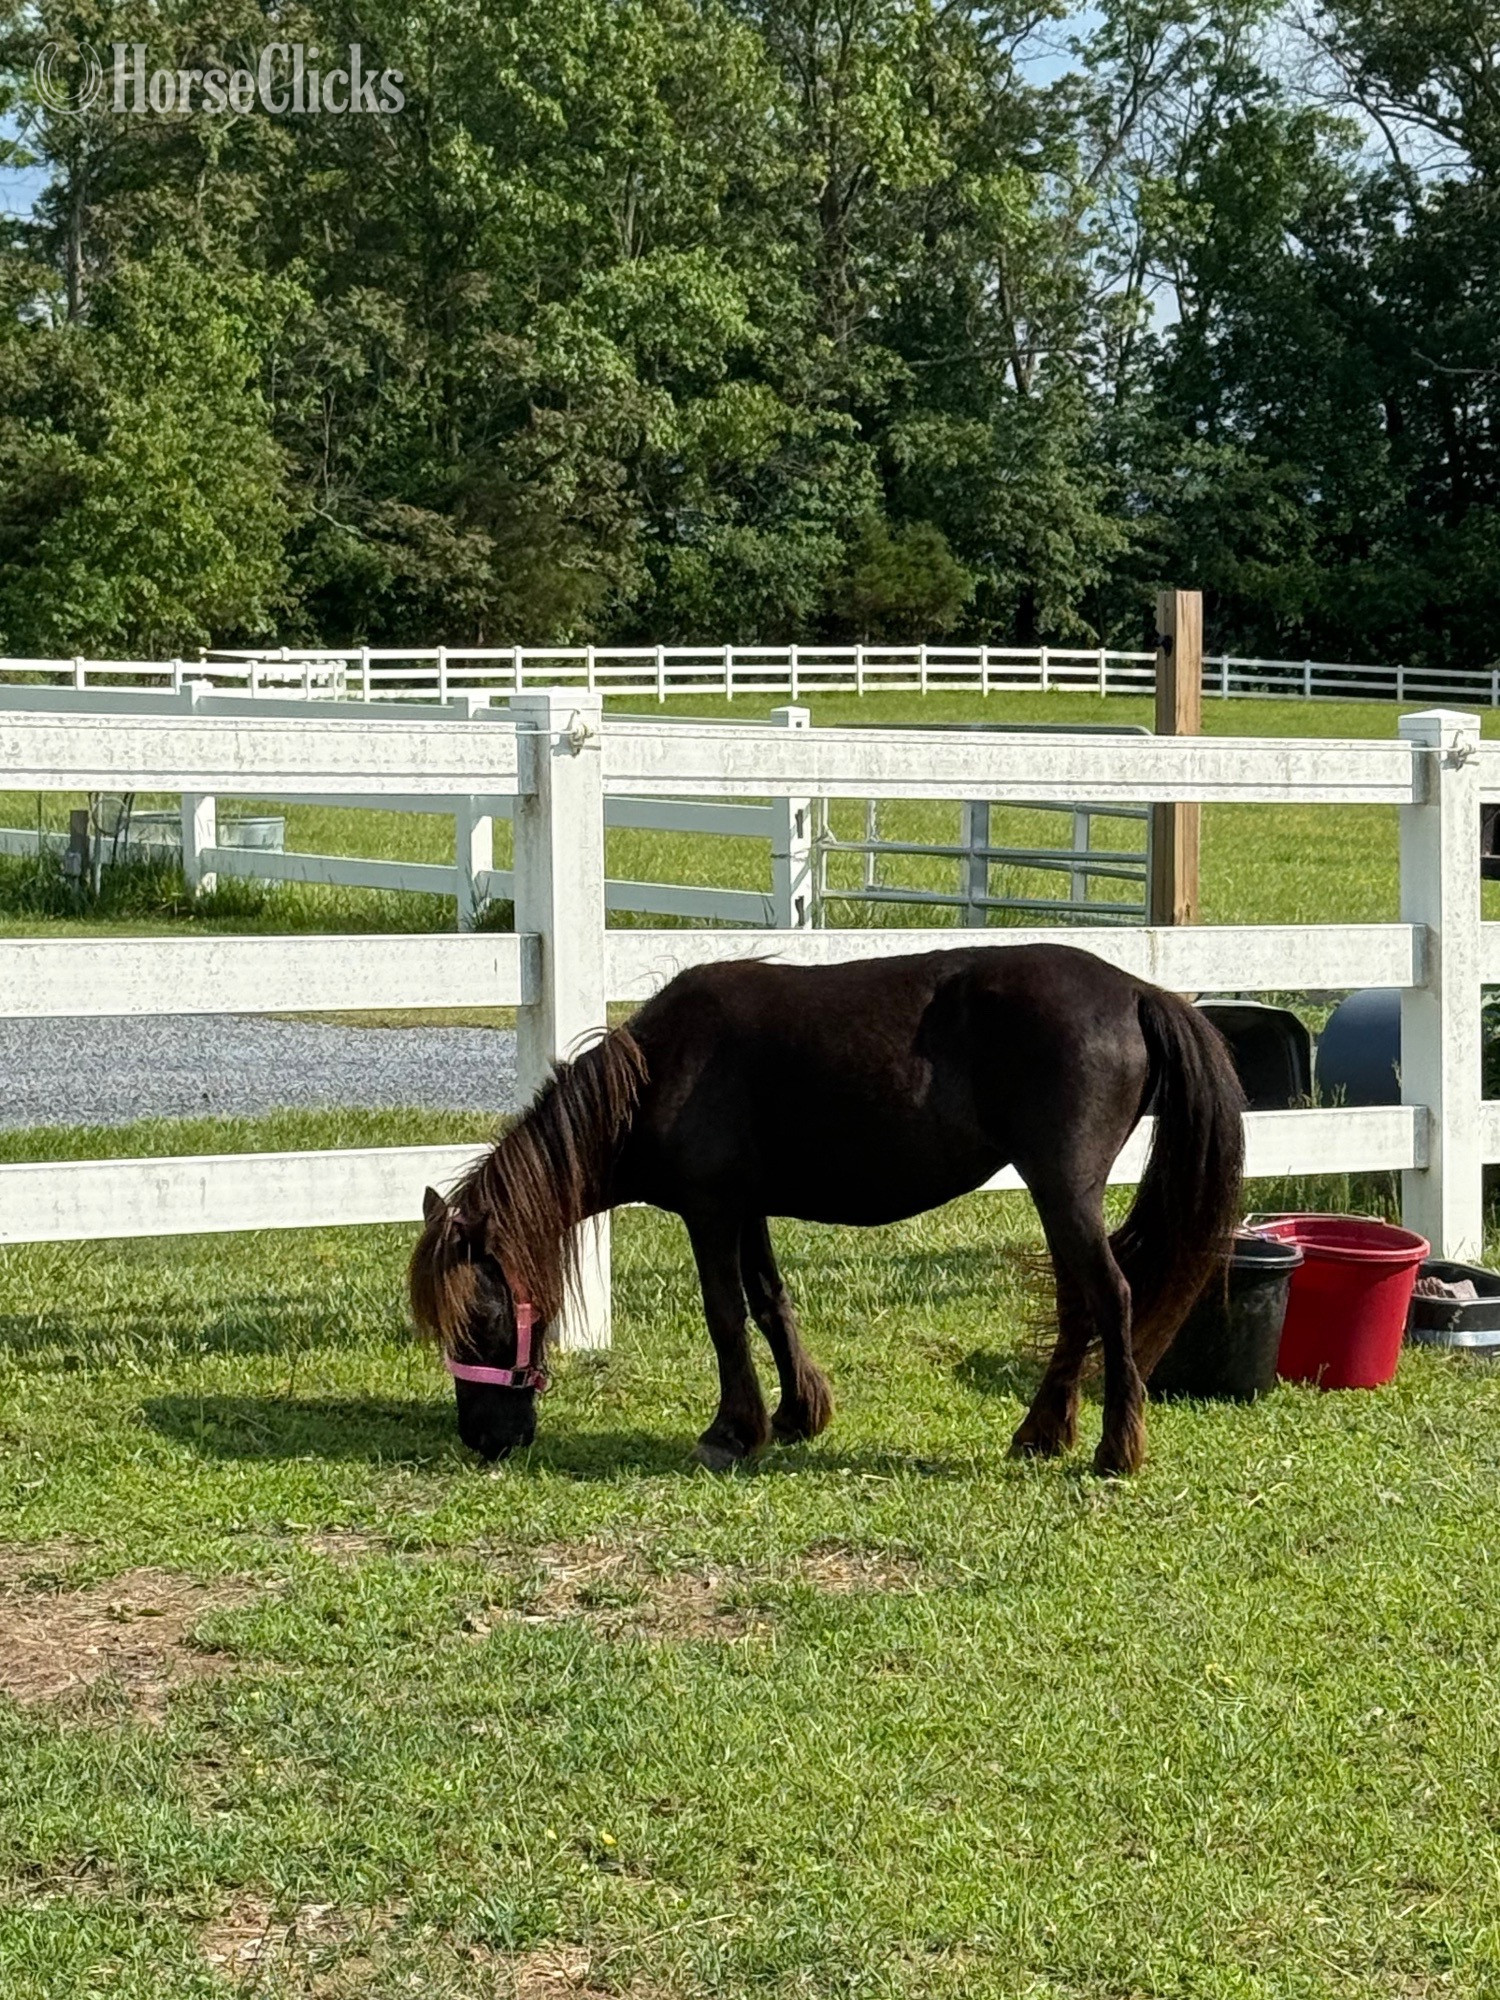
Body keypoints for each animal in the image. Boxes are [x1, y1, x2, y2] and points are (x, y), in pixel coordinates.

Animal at [409, 942, 1245, 1476]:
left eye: (482, 1322)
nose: (483, 1439)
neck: (657, 1075)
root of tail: (1138, 992)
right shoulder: (746, 1209)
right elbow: (770, 1303)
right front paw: (795, 1415)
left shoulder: (710, 1211)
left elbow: (724, 1314)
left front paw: (731, 1432)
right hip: (1059, 1196)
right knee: (1078, 1308)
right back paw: (1043, 1433)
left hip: (1062, 1188)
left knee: (1112, 1298)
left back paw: (1114, 1450)